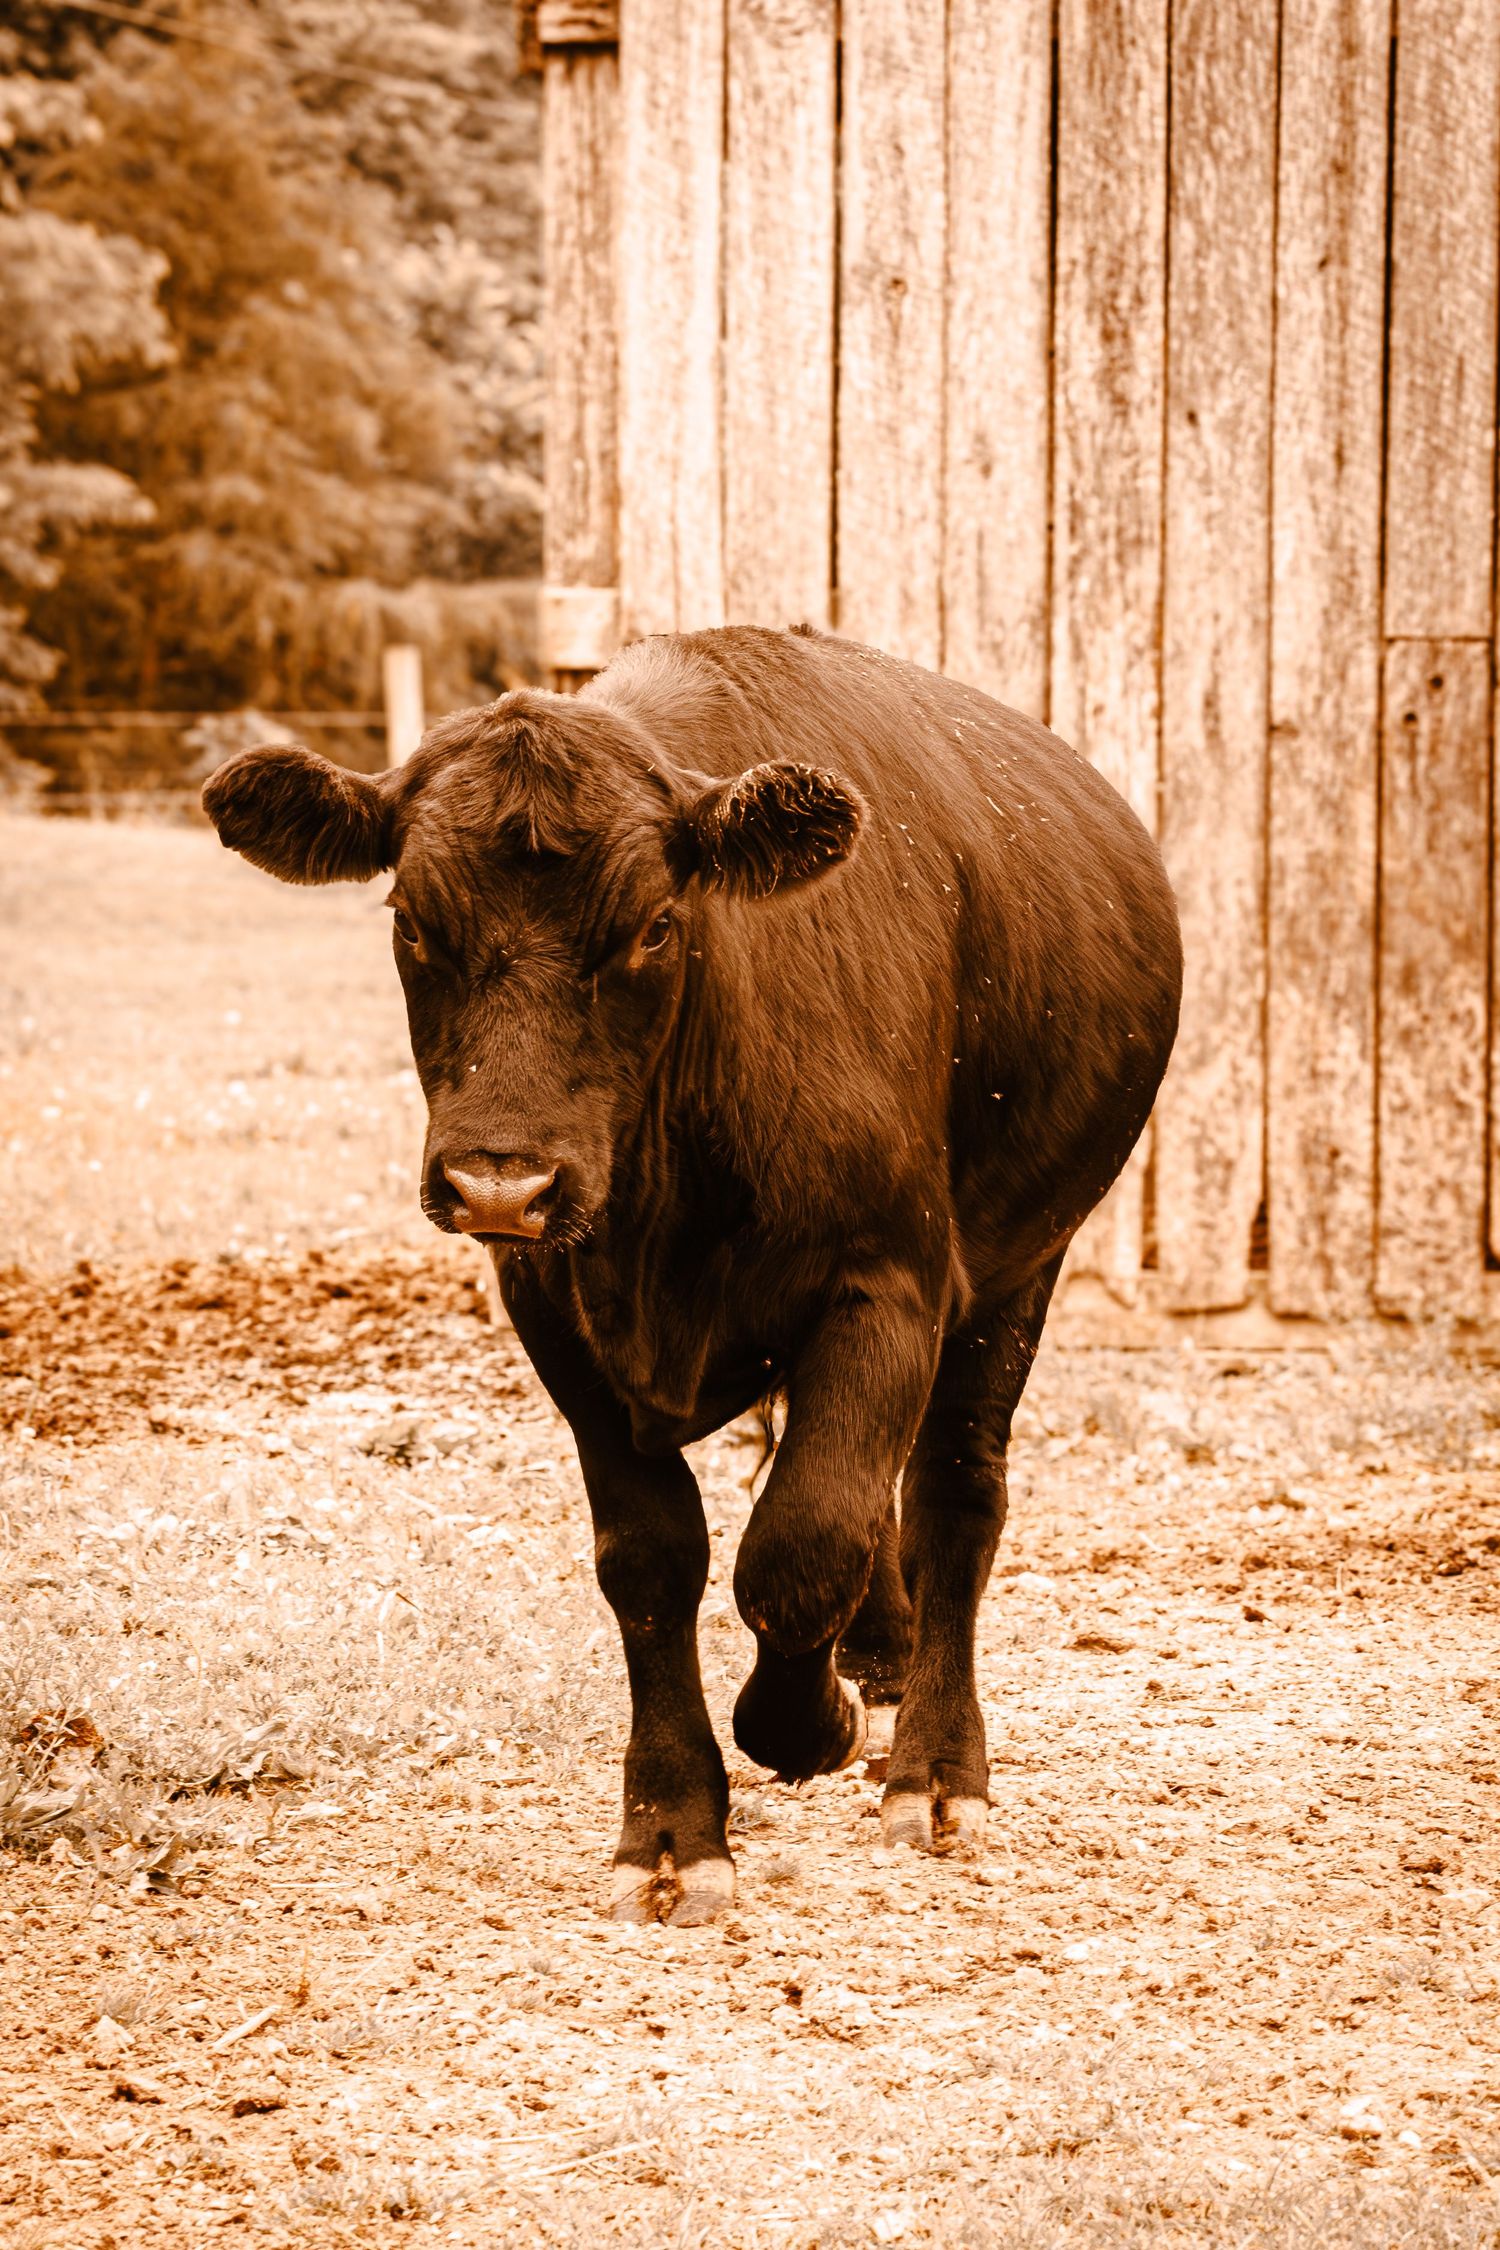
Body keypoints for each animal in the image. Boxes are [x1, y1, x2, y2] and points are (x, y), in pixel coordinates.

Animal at [203, 625, 1181, 1926]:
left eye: (656, 924)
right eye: (410, 920)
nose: (501, 1183)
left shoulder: (894, 1282)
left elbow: (802, 1546)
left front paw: (804, 1726)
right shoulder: (555, 1314)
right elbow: (653, 1560)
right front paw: (671, 1826)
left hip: (1025, 1262)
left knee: (953, 1490)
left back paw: (932, 1765)